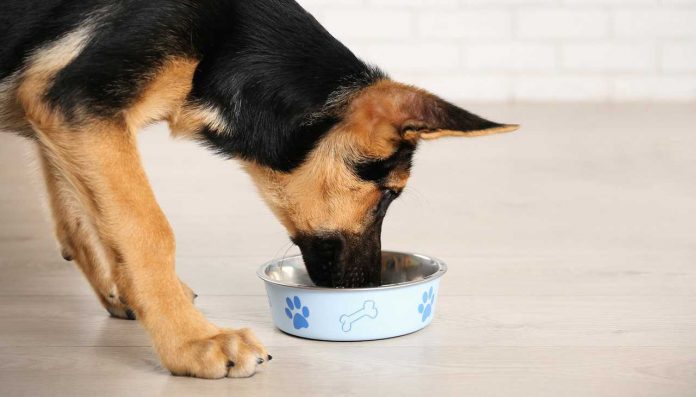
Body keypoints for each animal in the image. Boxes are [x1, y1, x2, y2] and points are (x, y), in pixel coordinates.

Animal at [0, 0, 516, 378]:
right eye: (389, 195)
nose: (368, 286)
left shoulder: (57, 116)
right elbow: (146, 228)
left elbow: (82, 219)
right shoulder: (79, 101)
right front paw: (191, 341)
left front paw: (127, 294)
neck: (225, 47)